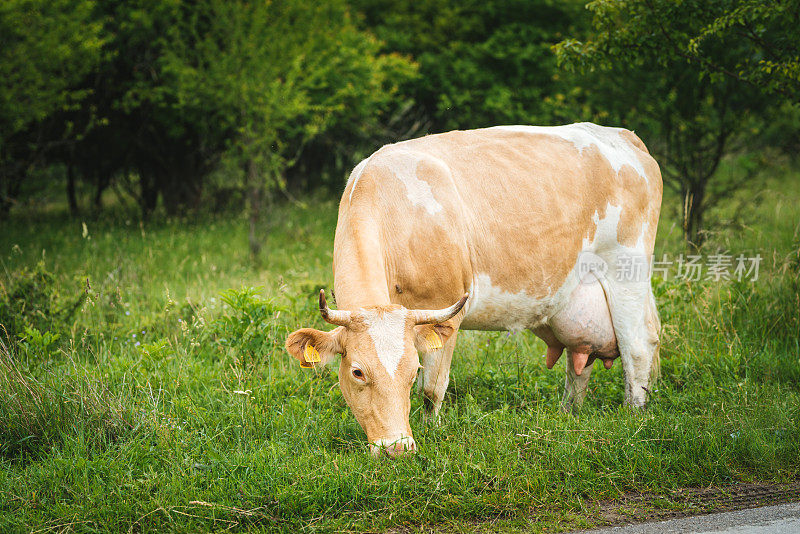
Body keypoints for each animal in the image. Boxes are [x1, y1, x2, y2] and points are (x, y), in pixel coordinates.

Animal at [286, 123, 664, 458]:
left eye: (412, 371)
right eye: (357, 372)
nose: (397, 449)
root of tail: (621, 136)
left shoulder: (444, 310)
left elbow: (432, 389)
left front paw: (432, 431)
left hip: (628, 269)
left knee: (638, 348)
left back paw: (634, 416)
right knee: (579, 360)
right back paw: (567, 414)